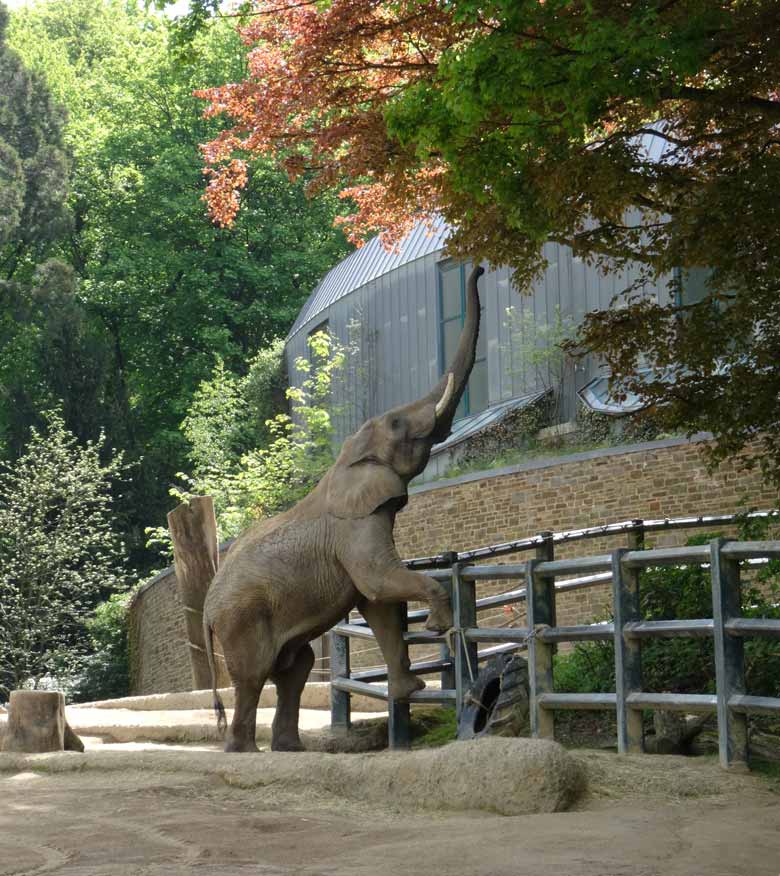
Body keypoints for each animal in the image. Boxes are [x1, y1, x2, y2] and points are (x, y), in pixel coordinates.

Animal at [201, 264, 484, 748]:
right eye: (397, 424)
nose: (480, 267)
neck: (343, 463)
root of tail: (205, 611)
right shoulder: (355, 526)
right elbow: (377, 583)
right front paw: (437, 627)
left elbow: (378, 603)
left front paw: (411, 689)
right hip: (240, 619)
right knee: (253, 678)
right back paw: (247, 752)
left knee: (294, 670)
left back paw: (290, 749)